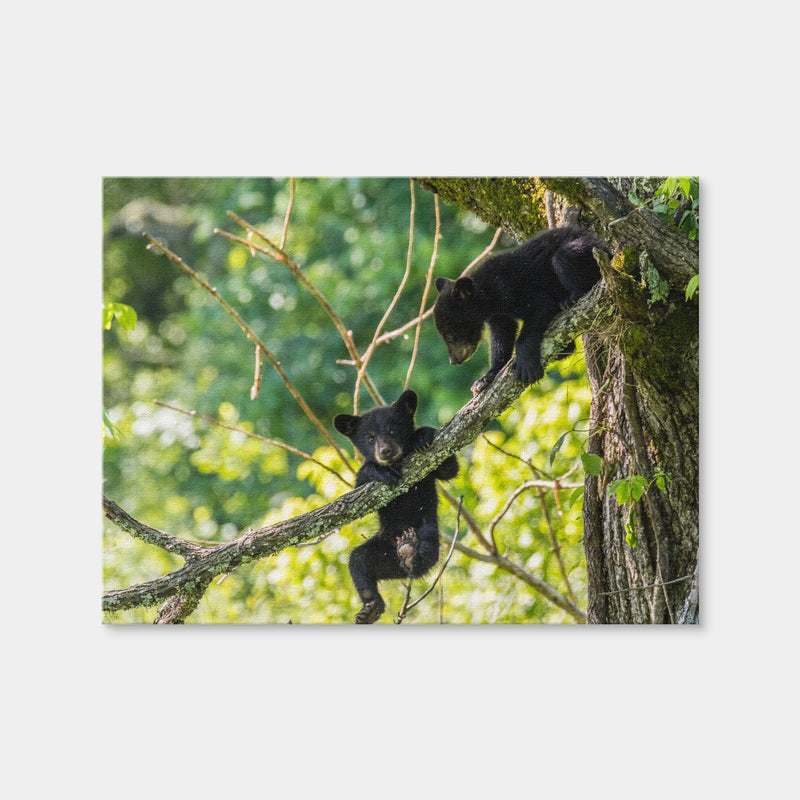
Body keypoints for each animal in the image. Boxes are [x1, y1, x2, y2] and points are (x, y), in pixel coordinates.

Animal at [333, 389, 459, 624]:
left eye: (393, 429)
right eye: (370, 437)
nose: (385, 451)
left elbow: (449, 468)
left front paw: (422, 435)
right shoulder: (362, 489)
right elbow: (359, 488)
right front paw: (380, 470)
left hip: (429, 537)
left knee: (424, 556)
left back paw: (410, 552)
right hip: (379, 551)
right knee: (358, 562)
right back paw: (370, 609)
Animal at [433, 225, 611, 395]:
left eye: (451, 336)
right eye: (444, 336)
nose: (454, 360)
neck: (489, 296)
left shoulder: (513, 288)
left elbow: (541, 307)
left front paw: (526, 366)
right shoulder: (498, 315)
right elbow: (502, 335)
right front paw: (485, 378)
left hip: (586, 250)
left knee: (563, 256)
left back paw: (570, 298)